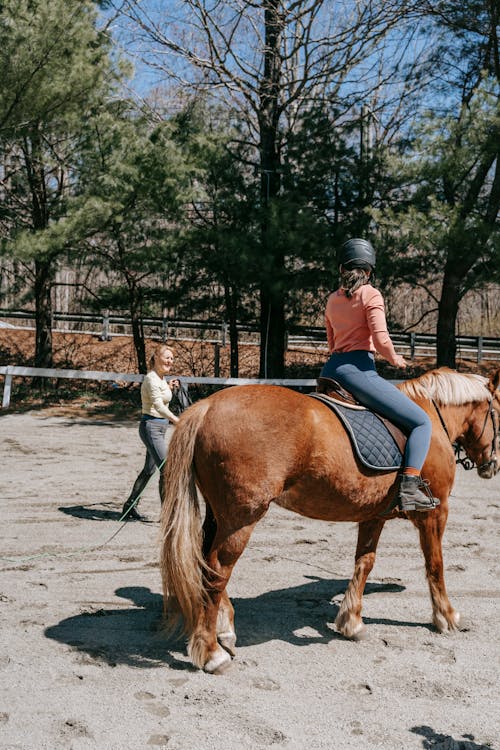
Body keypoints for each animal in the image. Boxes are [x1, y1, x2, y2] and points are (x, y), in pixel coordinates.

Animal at [160, 370, 500, 676]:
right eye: (497, 412)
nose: (492, 465)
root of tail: (207, 407)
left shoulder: (373, 516)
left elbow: (365, 562)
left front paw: (352, 621)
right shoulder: (435, 513)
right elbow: (435, 565)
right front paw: (447, 616)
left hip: (219, 515)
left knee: (206, 561)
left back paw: (224, 628)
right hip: (241, 519)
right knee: (217, 571)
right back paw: (210, 652)